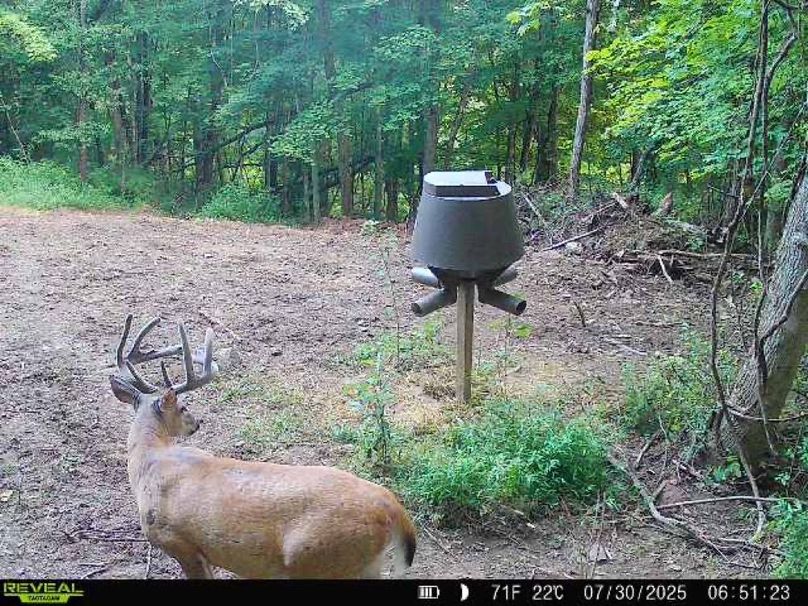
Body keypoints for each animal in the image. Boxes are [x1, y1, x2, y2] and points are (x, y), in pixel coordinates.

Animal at [108, 314, 417, 579]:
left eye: (183, 405)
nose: (196, 423)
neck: (150, 461)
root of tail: (392, 507)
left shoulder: (179, 542)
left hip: (324, 559)